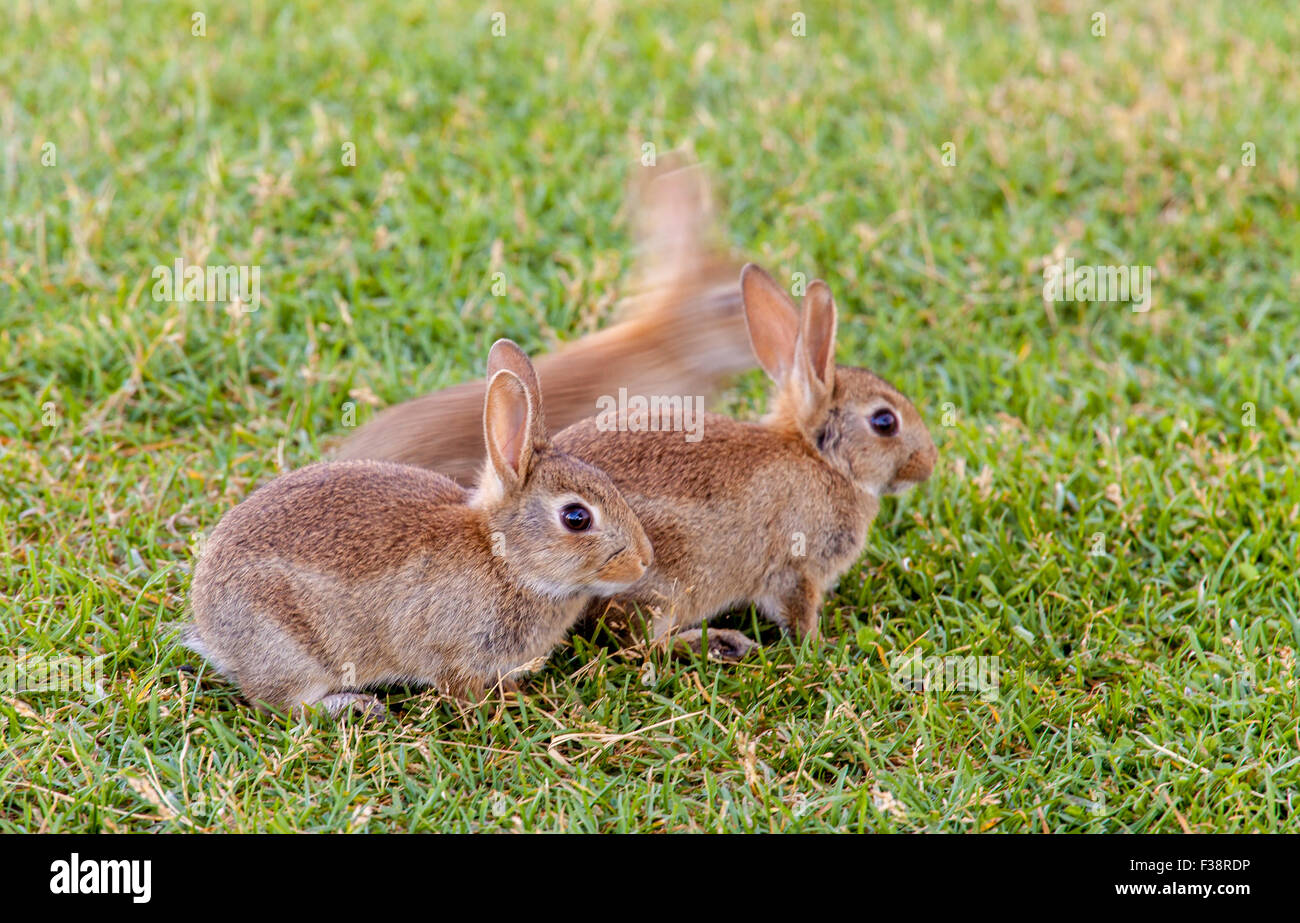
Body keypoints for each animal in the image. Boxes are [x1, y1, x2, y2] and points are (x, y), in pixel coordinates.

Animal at [183, 339, 654, 718]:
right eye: (576, 518)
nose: (644, 561)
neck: (504, 559)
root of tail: (211, 627)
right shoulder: (451, 652)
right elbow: (459, 688)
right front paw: (496, 708)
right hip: (292, 651)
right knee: (282, 706)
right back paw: (354, 706)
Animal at [552, 263, 937, 659]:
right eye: (885, 422)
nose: (929, 463)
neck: (824, 462)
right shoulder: (795, 570)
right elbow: (799, 614)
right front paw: (823, 646)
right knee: (639, 644)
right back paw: (722, 643)